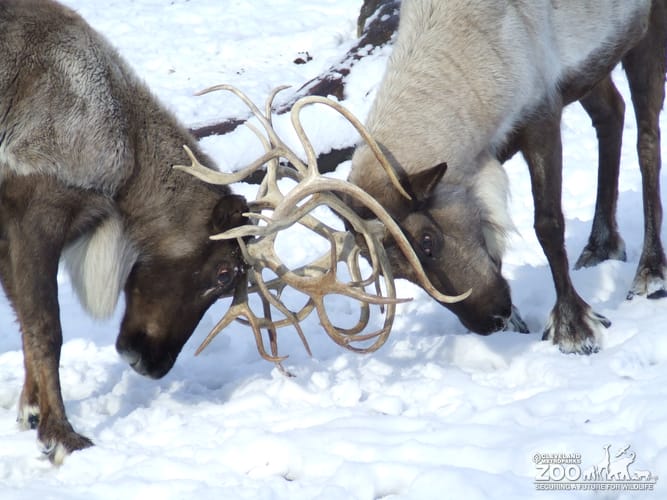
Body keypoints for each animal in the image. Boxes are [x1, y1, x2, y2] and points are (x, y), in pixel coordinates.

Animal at [0, 0, 251, 464]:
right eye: (225, 273)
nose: (150, 364)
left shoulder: (8, 231)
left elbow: (24, 318)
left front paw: (30, 411)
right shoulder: (37, 210)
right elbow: (46, 329)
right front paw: (61, 435)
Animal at [346, 0, 666, 354]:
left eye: (427, 240)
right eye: (396, 272)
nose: (491, 320)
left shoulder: (542, 113)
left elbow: (548, 226)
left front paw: (574, 327)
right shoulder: (487, 158)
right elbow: (492, 239)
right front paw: (518, 323)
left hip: (646, 28)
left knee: (647, 139)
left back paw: (650, 272)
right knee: (612, 112)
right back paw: (601, 245)